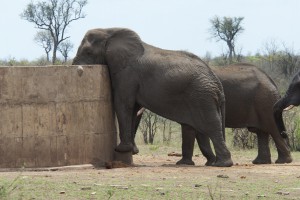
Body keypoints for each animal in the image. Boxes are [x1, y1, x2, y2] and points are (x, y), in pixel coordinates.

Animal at [72, 27, 232, 166]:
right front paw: (132, 151)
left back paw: (222, 164)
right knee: (194, 128)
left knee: (211, 125)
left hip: (201, 97)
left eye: (87, 52)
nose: (78, 69)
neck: (109, 31)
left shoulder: (127, 73)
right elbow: (133, 109)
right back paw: (196, 163)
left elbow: (123, 103)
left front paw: (122, 149)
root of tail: (217, 83)